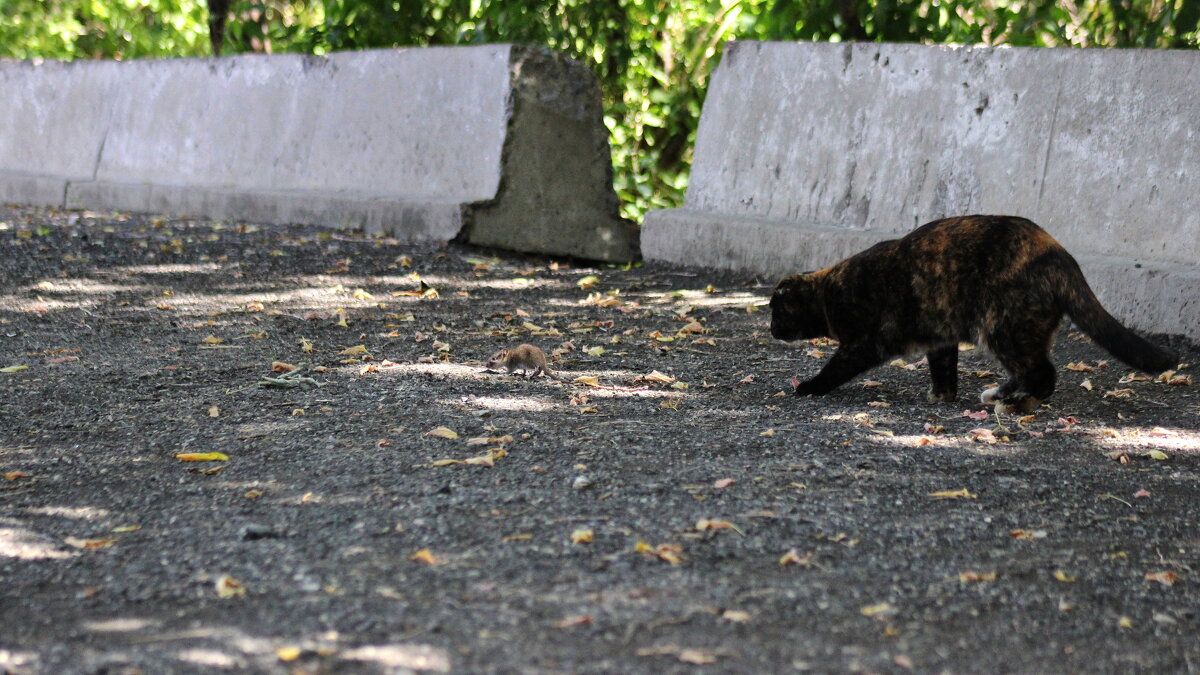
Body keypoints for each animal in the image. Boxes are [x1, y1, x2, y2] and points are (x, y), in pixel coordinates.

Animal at [772, 213, 1176, 410]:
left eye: (776, 312)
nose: (772, 329)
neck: (827, 292)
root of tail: (1058, 253)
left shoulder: (863, 342)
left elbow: (836, 368)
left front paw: (810, 387)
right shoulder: (939, 337)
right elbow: (944, 369)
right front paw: (943, 396)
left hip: (1002, 326)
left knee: (1042, 373)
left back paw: (1013, 402)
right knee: (1031, 370)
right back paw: (1003, 394)